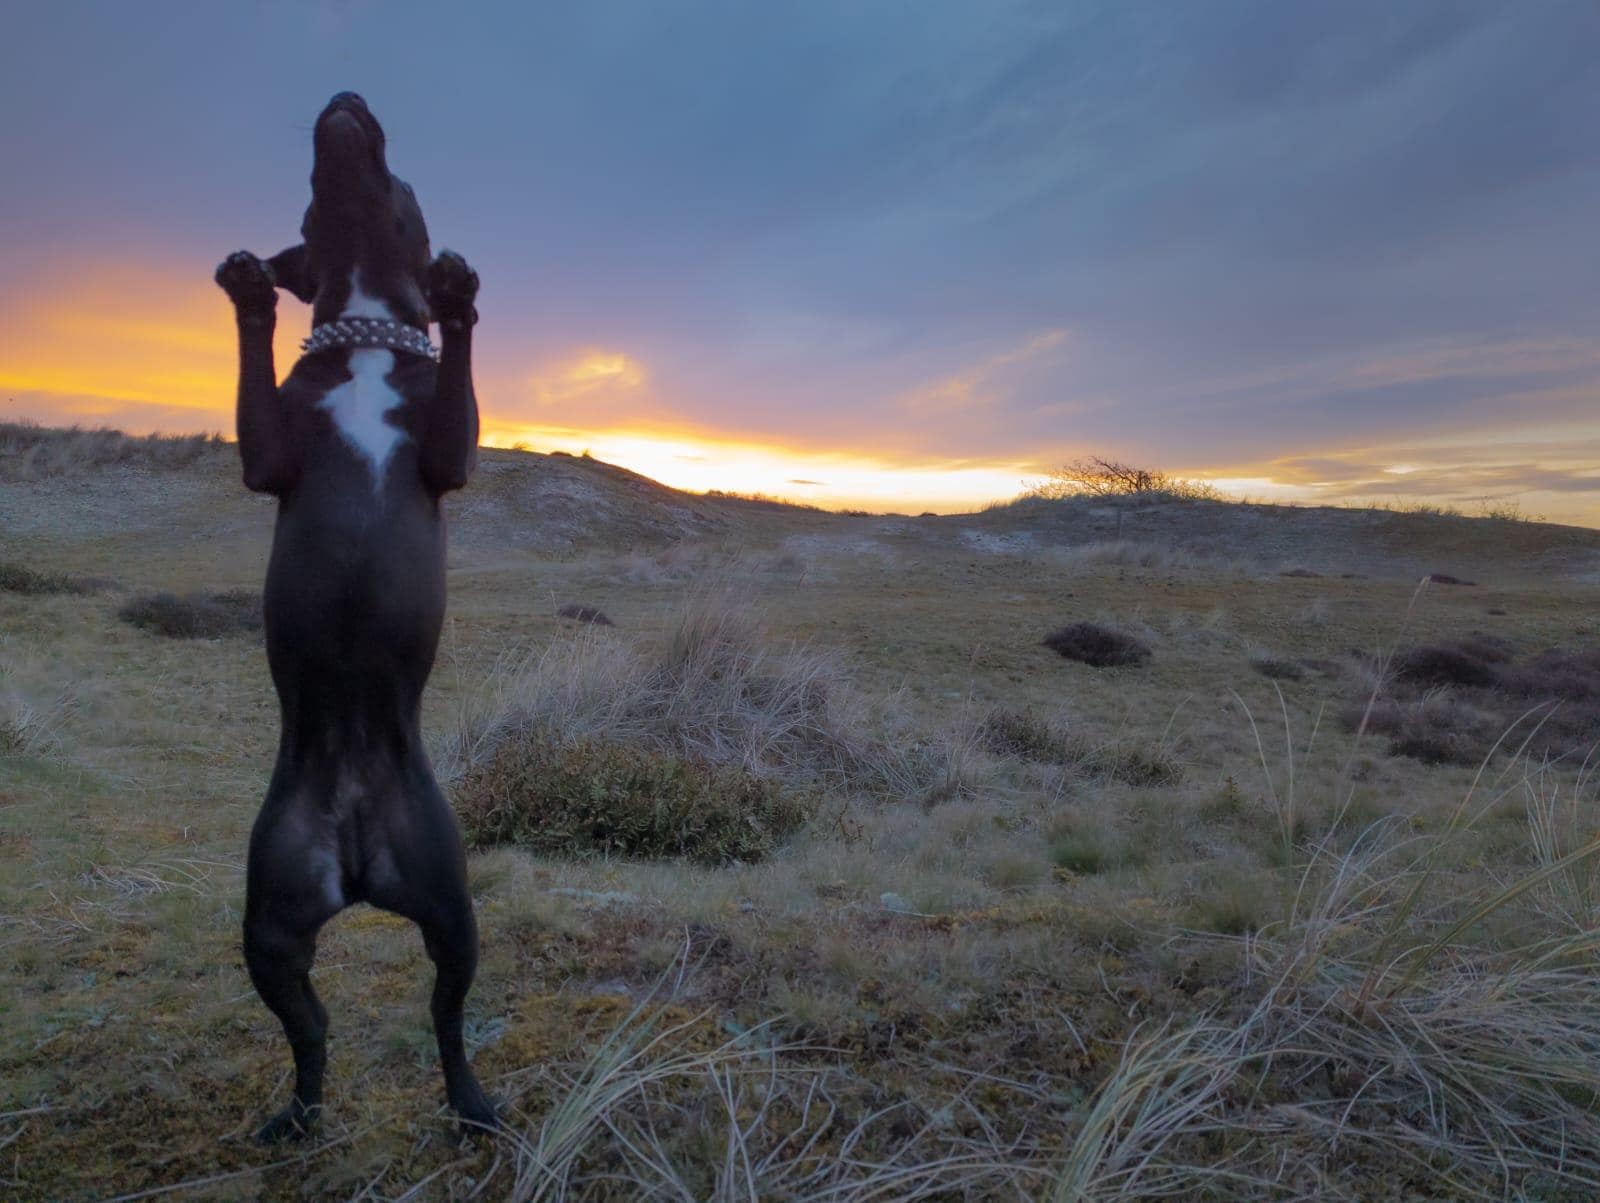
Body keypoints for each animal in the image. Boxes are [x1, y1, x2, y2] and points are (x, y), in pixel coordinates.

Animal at [214, 92, 494, 1141]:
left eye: (399, 179)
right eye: (310, 199)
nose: (345, 100)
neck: (370, 338)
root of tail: (359, 854)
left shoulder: (449, 456)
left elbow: (458, 370)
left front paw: (456, 295)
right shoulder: (268, 458)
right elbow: (256, 375)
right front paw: (249, 292)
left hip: (452, 909)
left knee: (448, 1016)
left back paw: (472, 1103)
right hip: (270, 920)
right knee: (312, 1028)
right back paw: (298, 1113)